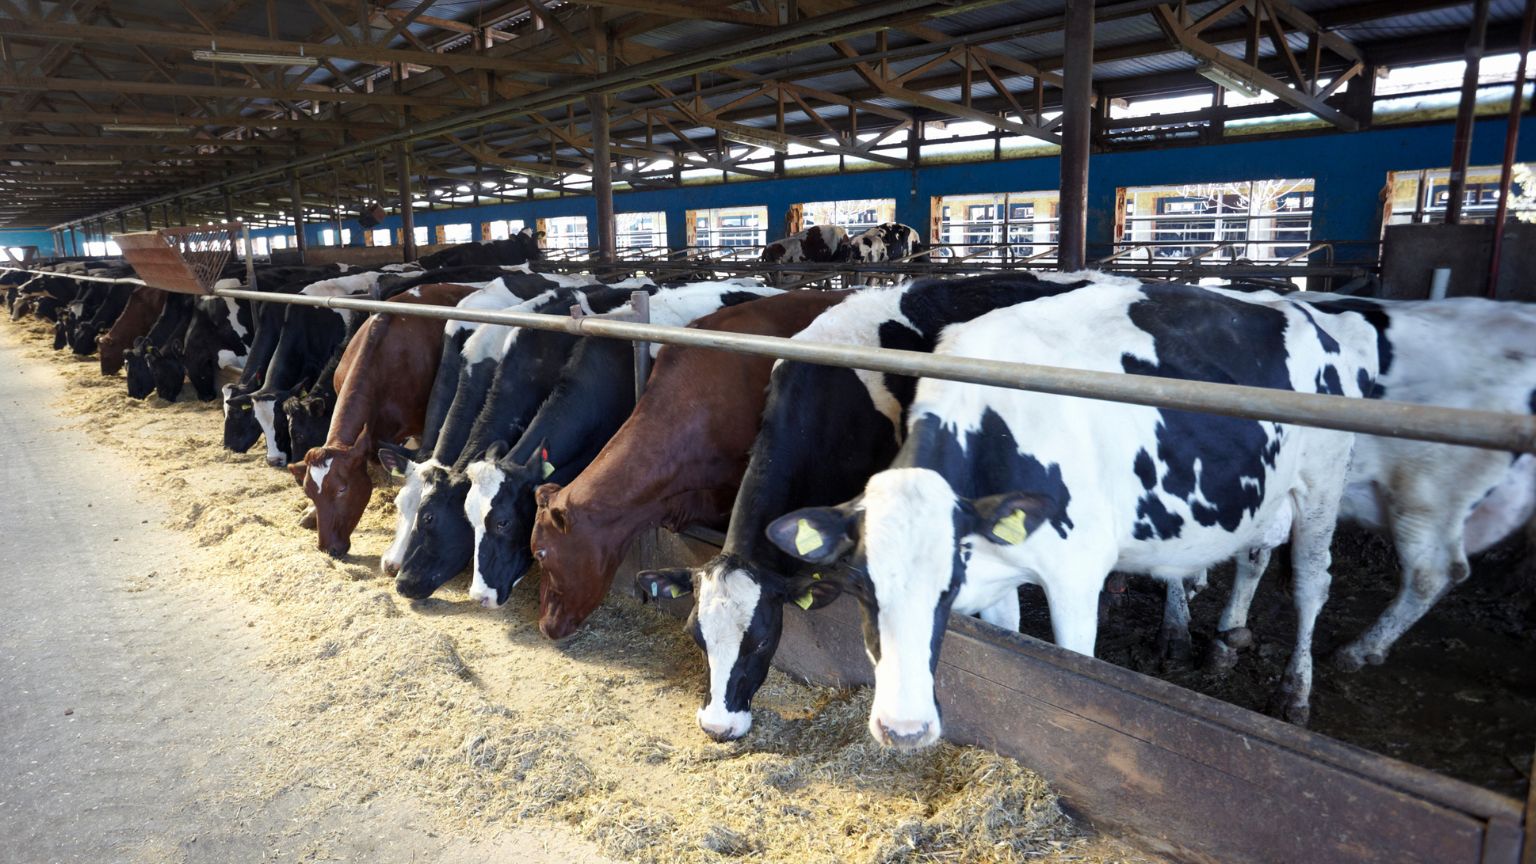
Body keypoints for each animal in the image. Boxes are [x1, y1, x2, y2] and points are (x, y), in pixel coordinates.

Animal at [761, 279, 1376, 744]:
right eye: (862, 589)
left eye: (946, 588)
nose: (903, 730)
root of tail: (1296, 309)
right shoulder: (1002, 572)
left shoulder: (1077, 576)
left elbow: (1075, 669)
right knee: (1254, 554)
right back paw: (1226, 641)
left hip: (1323, 477)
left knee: (1311, 582)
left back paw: (1295, 691)